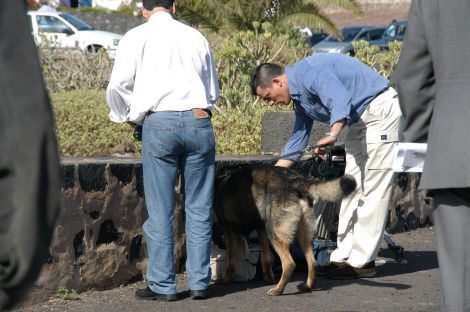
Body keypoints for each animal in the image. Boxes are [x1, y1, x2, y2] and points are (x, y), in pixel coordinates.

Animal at [214, 165, 356, 296]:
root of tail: (294, 180)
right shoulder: (261, 229)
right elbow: (266, 258)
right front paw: (268, 278)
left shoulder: (229, 232)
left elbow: (230, 261)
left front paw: (225, 280)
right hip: (301, 235)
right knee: (312, 262)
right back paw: (307, 286)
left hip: (274, 234)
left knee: (289, 264)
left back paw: (278, 290)